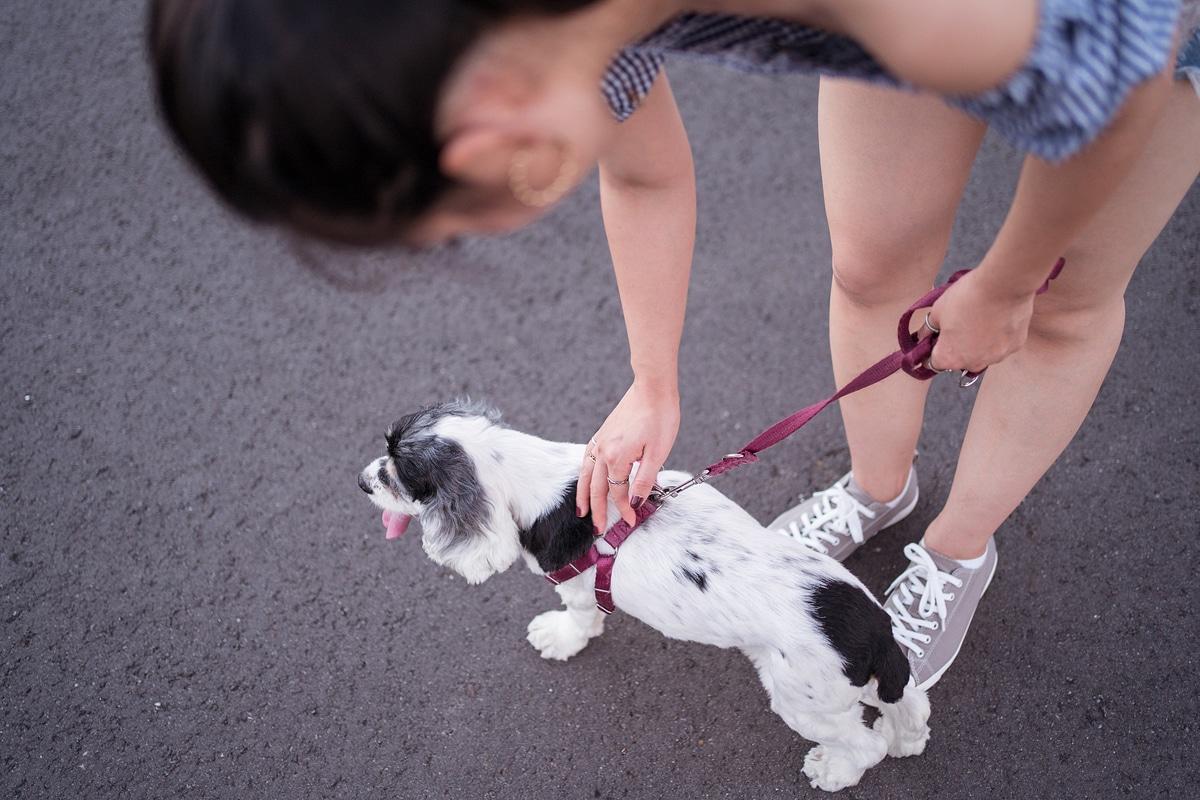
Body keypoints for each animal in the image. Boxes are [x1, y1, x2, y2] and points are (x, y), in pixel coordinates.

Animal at [355, 402, 926, 791]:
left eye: (398, 474)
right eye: (386, 448)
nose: (361, 481)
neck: (537, 474)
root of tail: (875, 631)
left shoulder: (575, 583)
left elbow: (579, 617)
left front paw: (558, 638)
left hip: (803, 699)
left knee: (864, 742)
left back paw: (835, 770)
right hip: (854, 683)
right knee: (909, 700)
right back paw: (908, 739)